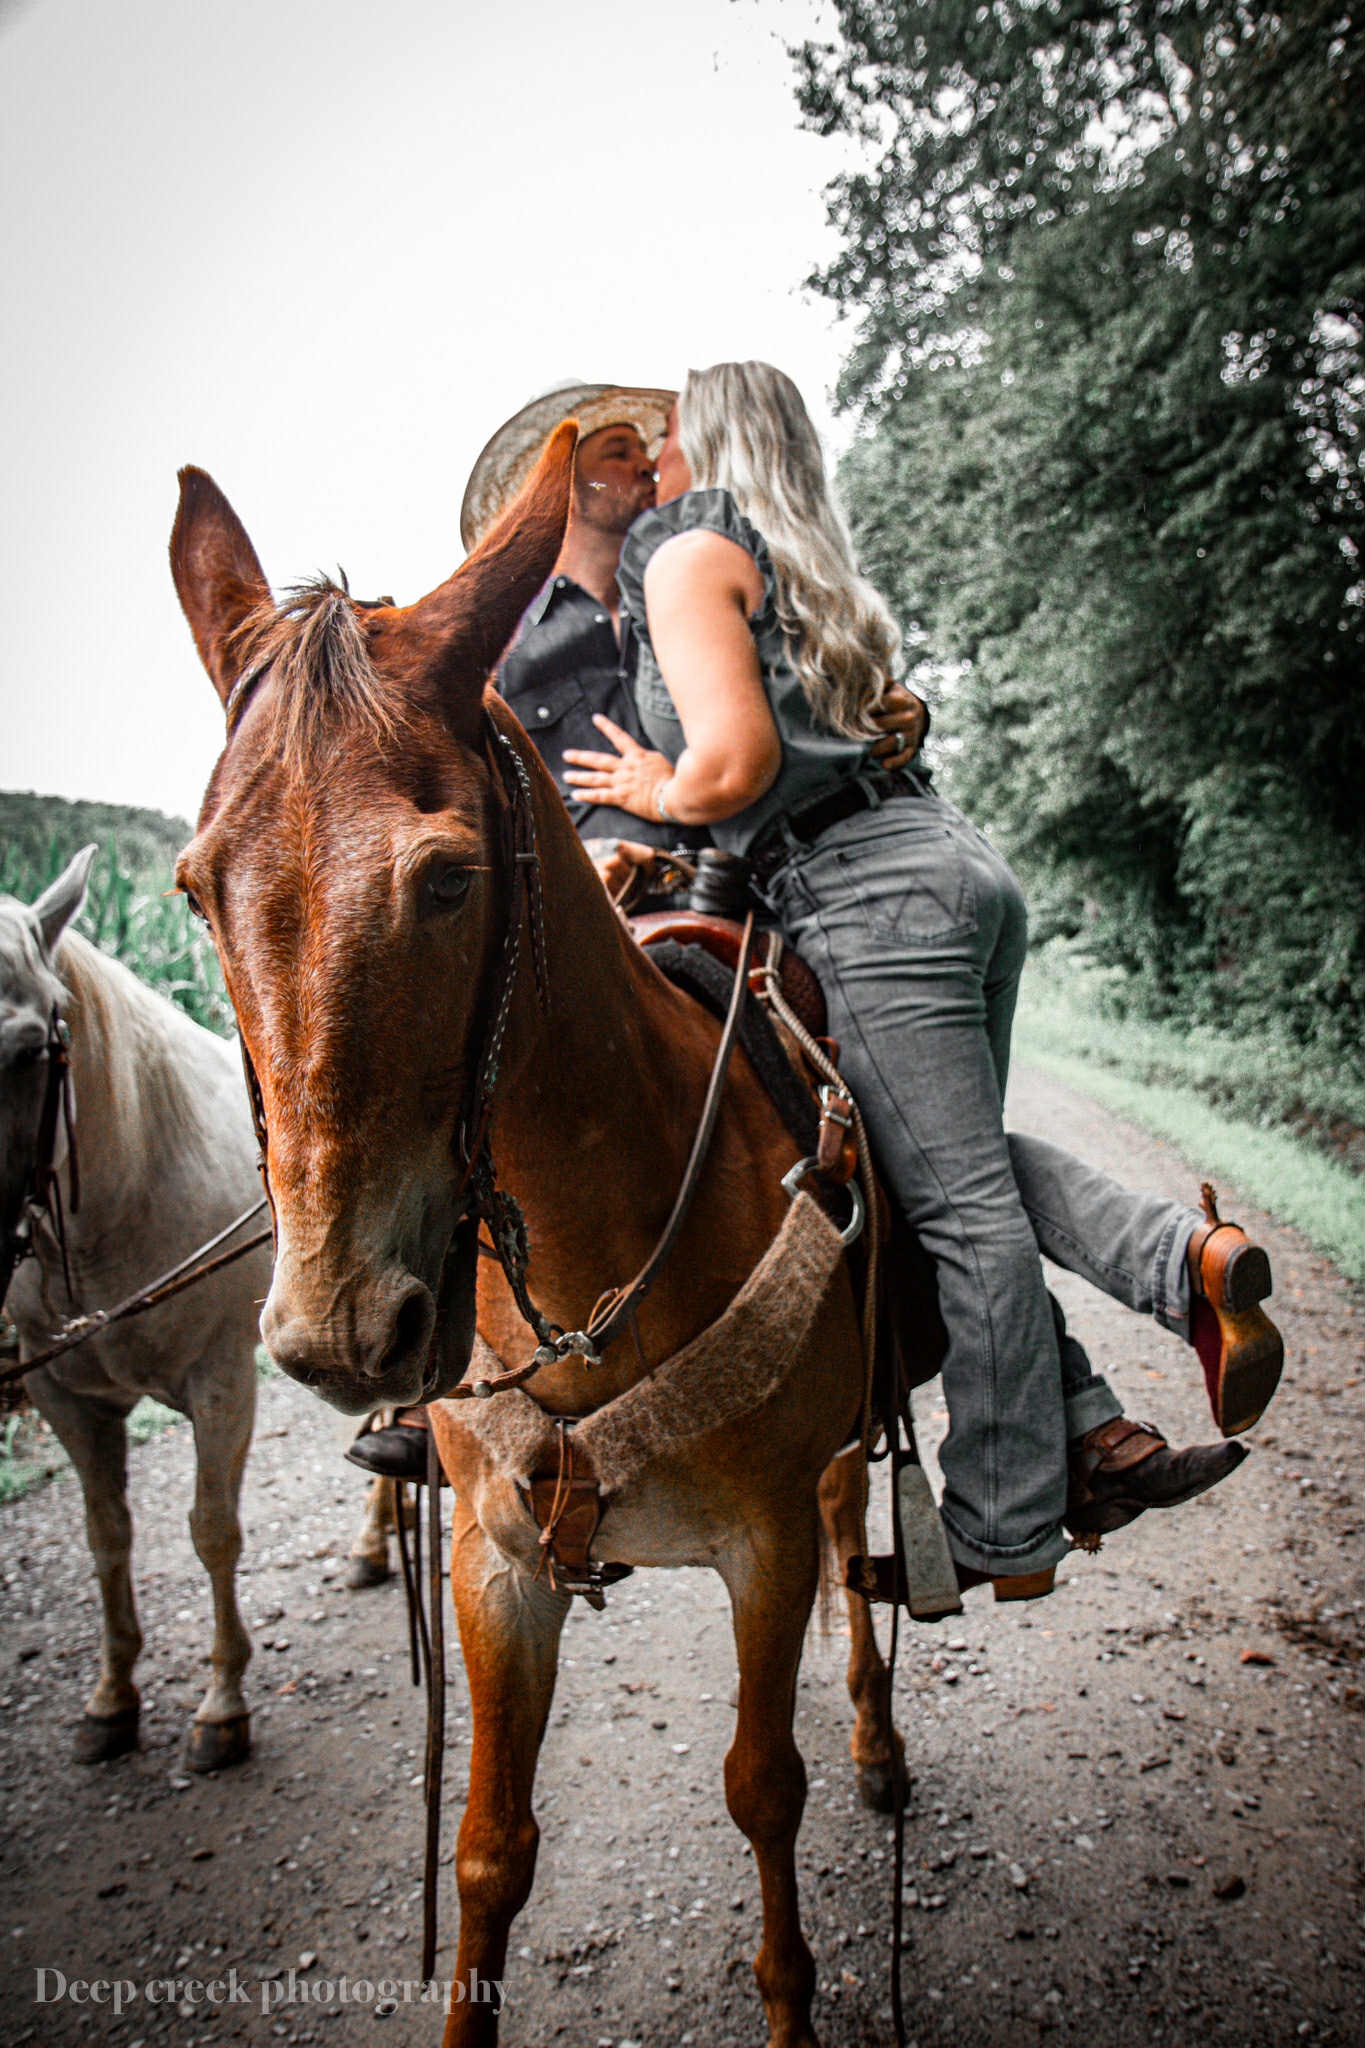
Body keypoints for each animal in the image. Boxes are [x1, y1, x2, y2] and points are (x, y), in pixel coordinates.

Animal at [0, 850, 272, 1770]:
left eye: (25, 1051)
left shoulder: (222, 1379)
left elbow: (213, 1528)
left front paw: (222, 1705)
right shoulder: (62, 1397)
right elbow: (106, 1534)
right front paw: (113, 1696)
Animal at [169, 424, 901, 2048]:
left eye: (448, 877)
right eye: (194, 889)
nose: (339, 1327)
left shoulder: (761, 1547)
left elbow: (765, 1787)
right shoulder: (496, 1565)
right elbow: (489, 1850)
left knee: (851, 1528)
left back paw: (882, 1736)